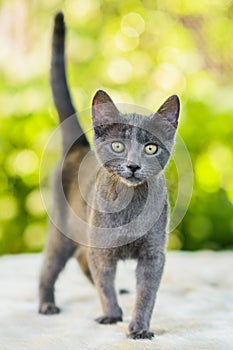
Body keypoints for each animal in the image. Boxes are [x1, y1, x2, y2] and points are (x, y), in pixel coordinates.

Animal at [38, 12, 180, 340]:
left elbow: (147, 293)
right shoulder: (102, 248)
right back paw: (47, 305)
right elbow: (105, 282)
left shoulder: (154, 254)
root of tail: (78, 146)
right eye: (118, 145)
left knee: (82, 259)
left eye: (151, 148)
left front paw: (139, 328)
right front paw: (112, 315)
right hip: (63, 228)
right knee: (50, 266)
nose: (133, 165)